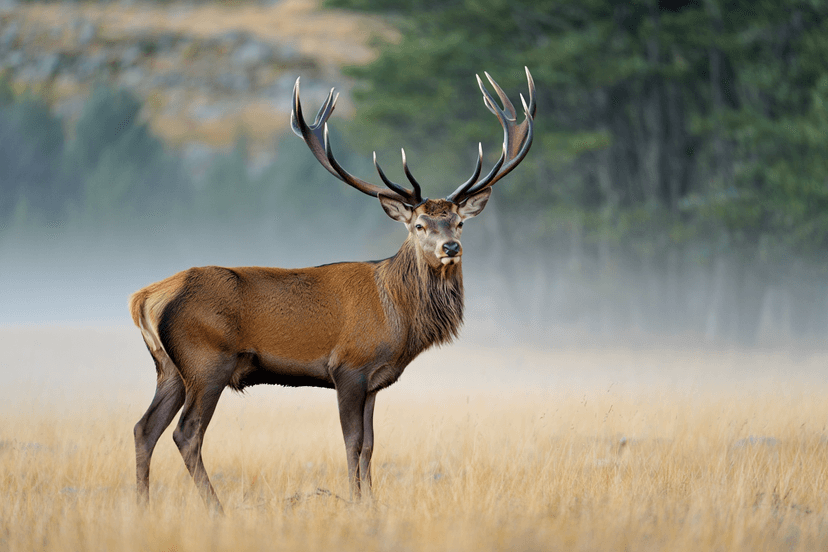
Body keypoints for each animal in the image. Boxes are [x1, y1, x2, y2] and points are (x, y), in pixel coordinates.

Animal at [130, 67, 535, 513]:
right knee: (186, 432)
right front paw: (356, 503)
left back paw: (142, 506)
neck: (398, 315)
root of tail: (144, 298)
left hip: (169, 368)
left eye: (459, 223)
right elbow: (352, 442)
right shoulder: (348, 368)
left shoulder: (375, 380)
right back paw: (215, 509)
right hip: (206, 361)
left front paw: (371, 502)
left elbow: (370, 446)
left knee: (144, 428)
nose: (451, 248)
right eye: (419, 225)